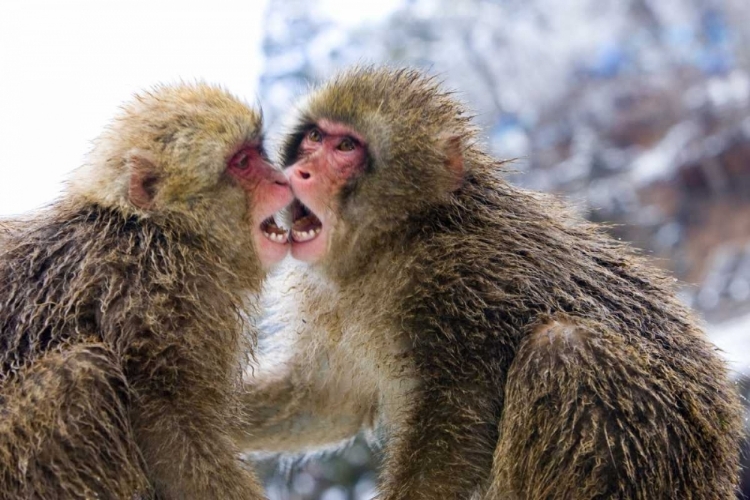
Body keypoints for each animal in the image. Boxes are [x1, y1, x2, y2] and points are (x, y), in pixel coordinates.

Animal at [0, 83, 292, 500]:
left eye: (257, 151)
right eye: (242, 163)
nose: (282, 180)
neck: (161, 232)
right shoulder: (155, 295)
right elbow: (169, 425)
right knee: (83, 372)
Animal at [236, 67, 748, 500]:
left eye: (345, 148)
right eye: (314, 138)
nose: (299, 171)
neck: (400, 238)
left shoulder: (460, 280)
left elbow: (457, 424)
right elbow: (327, 401)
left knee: (564, 349)